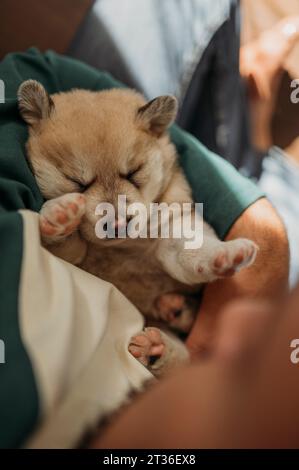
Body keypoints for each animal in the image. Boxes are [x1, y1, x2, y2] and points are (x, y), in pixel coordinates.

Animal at [17, 80, 258, 374]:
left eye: (134, 172)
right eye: (76, 181)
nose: (119, 223)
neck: (122, 250)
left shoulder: (172, 238)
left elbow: (193, 252)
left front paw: (225, 255)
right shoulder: (71, 258)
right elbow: (62, 241)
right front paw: (58, 213)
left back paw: (161, 341)